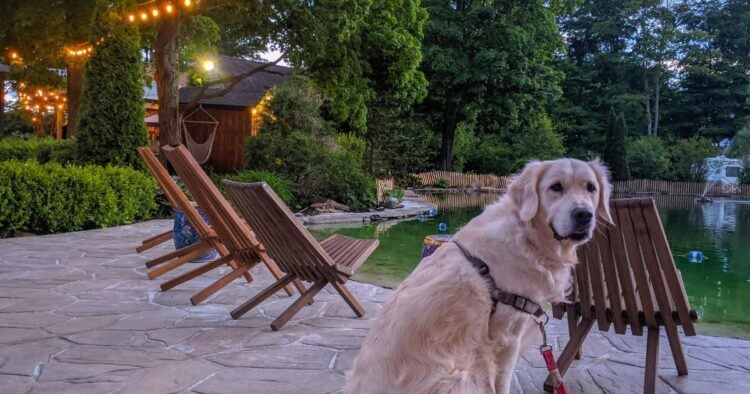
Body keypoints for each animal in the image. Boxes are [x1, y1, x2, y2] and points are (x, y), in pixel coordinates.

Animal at [346, 159, 612, 392]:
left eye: (591, 187)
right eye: (556, 187)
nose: (584, 215)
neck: (527, 234)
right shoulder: (506, 338)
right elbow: (501, 384)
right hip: (456, 378)